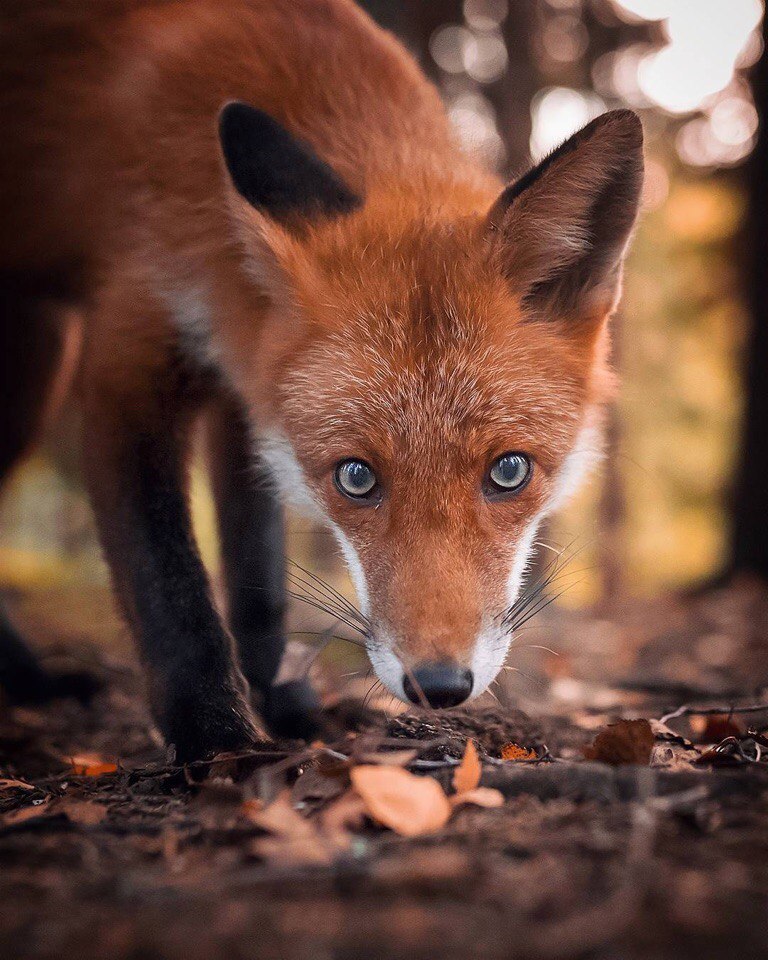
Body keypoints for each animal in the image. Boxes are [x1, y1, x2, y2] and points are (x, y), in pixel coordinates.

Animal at [1, 1, 640, 764]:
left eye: (509, 471)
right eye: (356, 478)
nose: (438, 686)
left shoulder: (247, 396)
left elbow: (258, 581)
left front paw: (289, 707)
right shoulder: (126, 353)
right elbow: (170, 586)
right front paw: (217, 741)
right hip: (42, 365)